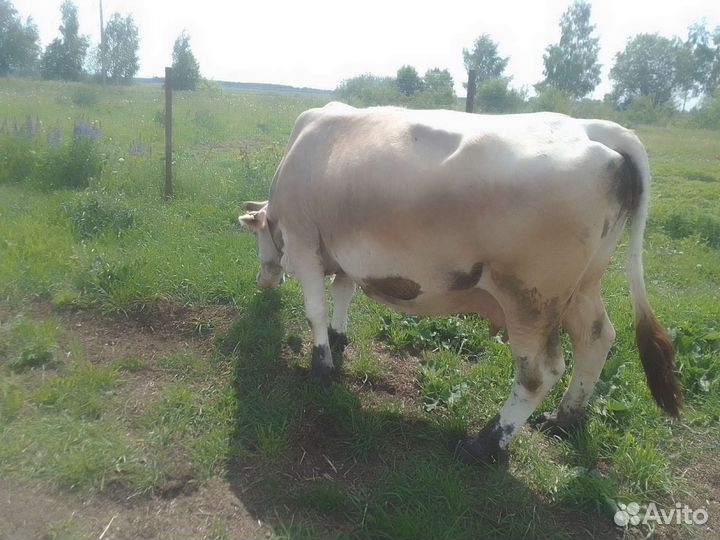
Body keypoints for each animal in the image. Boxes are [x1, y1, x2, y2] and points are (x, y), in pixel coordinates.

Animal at [239, 102, 681, 464]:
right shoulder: (346, 251)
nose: (262, 280)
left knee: (539, 373)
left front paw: (321, 366)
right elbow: (342, 294)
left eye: (256, 233)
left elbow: (315, 310)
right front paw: (338, 338)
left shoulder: (303, 242)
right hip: (582, 286)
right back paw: (565, 418)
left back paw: (485, 443)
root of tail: (594, 128)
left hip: (531, 299)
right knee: (596, 338)